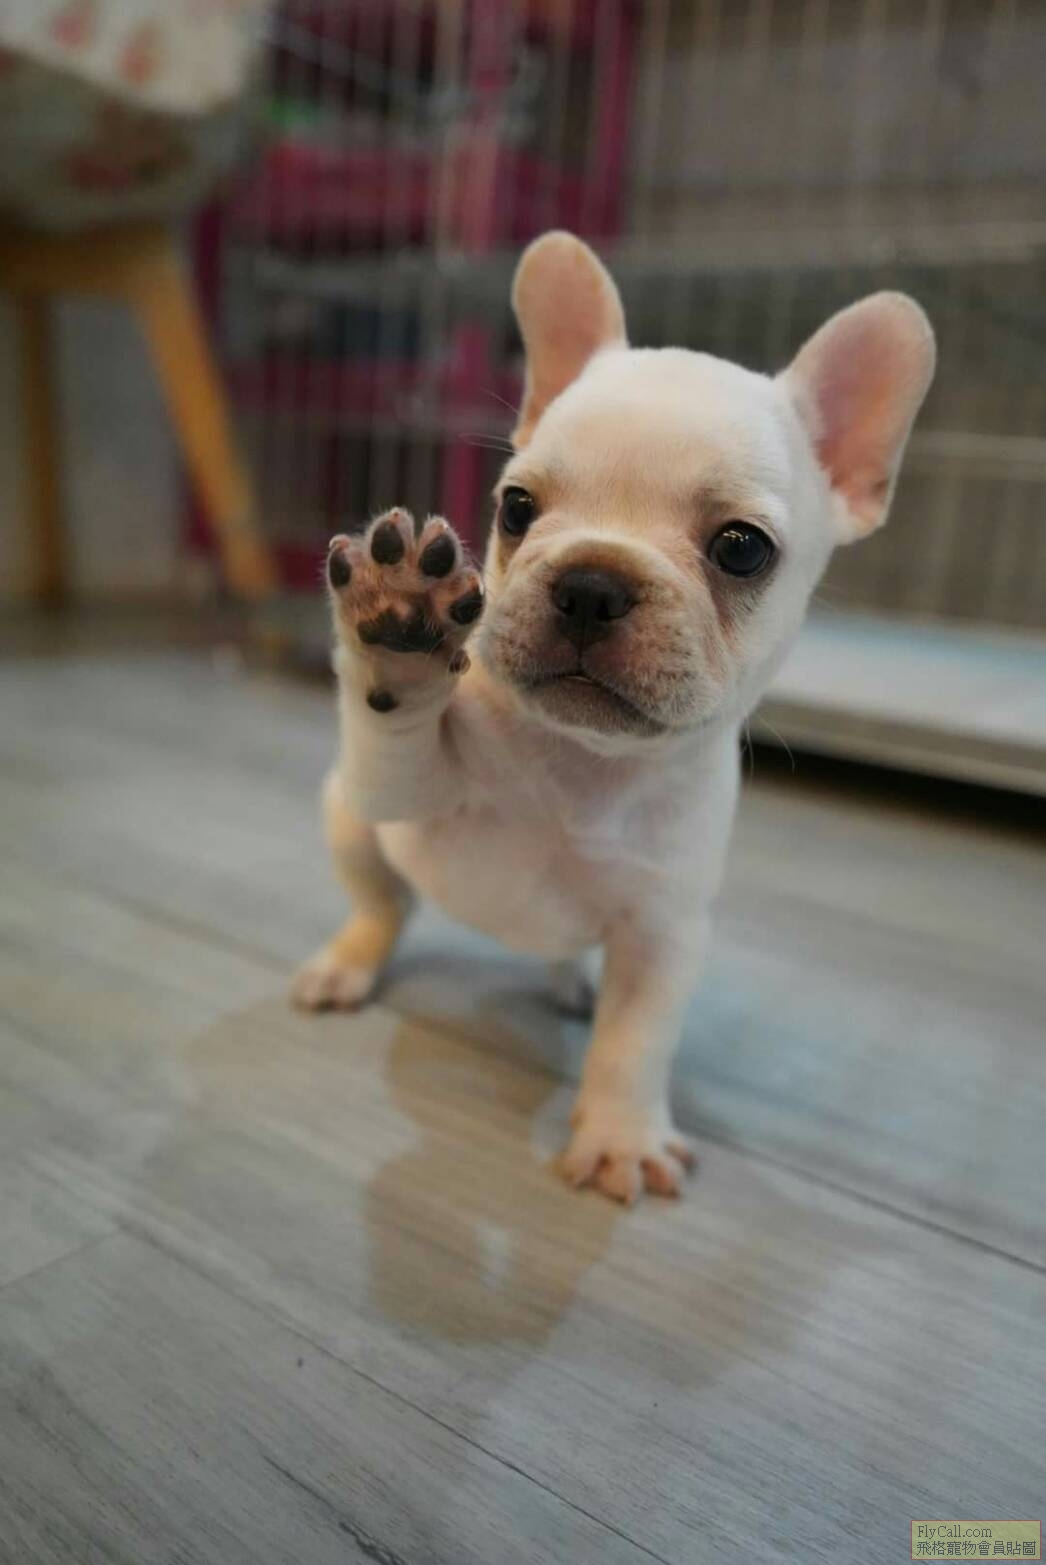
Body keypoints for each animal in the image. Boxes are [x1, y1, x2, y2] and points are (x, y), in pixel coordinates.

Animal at [293, 231, 935, 1205]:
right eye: (516, 507)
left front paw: (621, 1135)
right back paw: (347, 961)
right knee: (382, 905)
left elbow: (635, 1042)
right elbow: (396, 726)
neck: (582, 762)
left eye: (742, 548)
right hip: (348, 826)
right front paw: (399, 627)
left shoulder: (664, 936)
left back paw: (573, 982)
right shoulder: (399, 792)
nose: (592, 581)